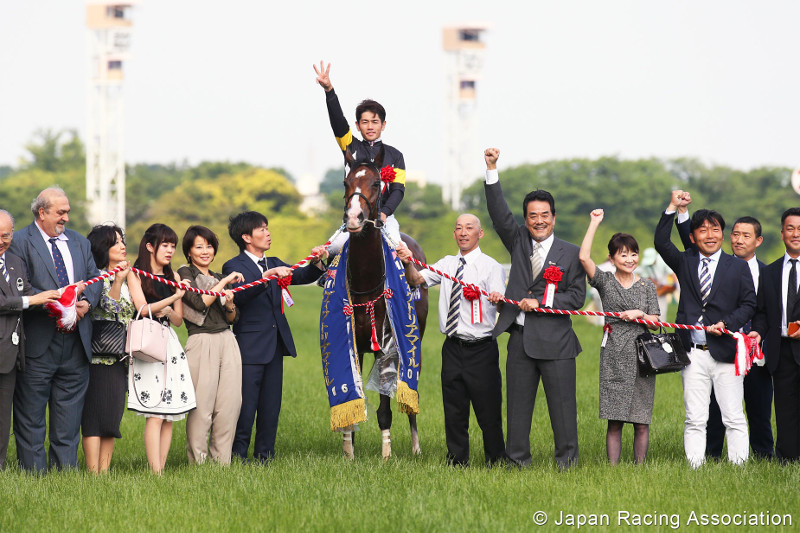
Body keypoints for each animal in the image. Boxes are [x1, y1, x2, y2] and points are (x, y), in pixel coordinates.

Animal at [344, 144, 432, 458]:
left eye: (375, 183)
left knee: (410, 395)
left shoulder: (386, 344)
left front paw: (386, 453)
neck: (366, 281)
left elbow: (385, 405)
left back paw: (416, 446)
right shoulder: (354, 342)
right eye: (346, 182)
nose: (354, 217)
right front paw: (349, 450)